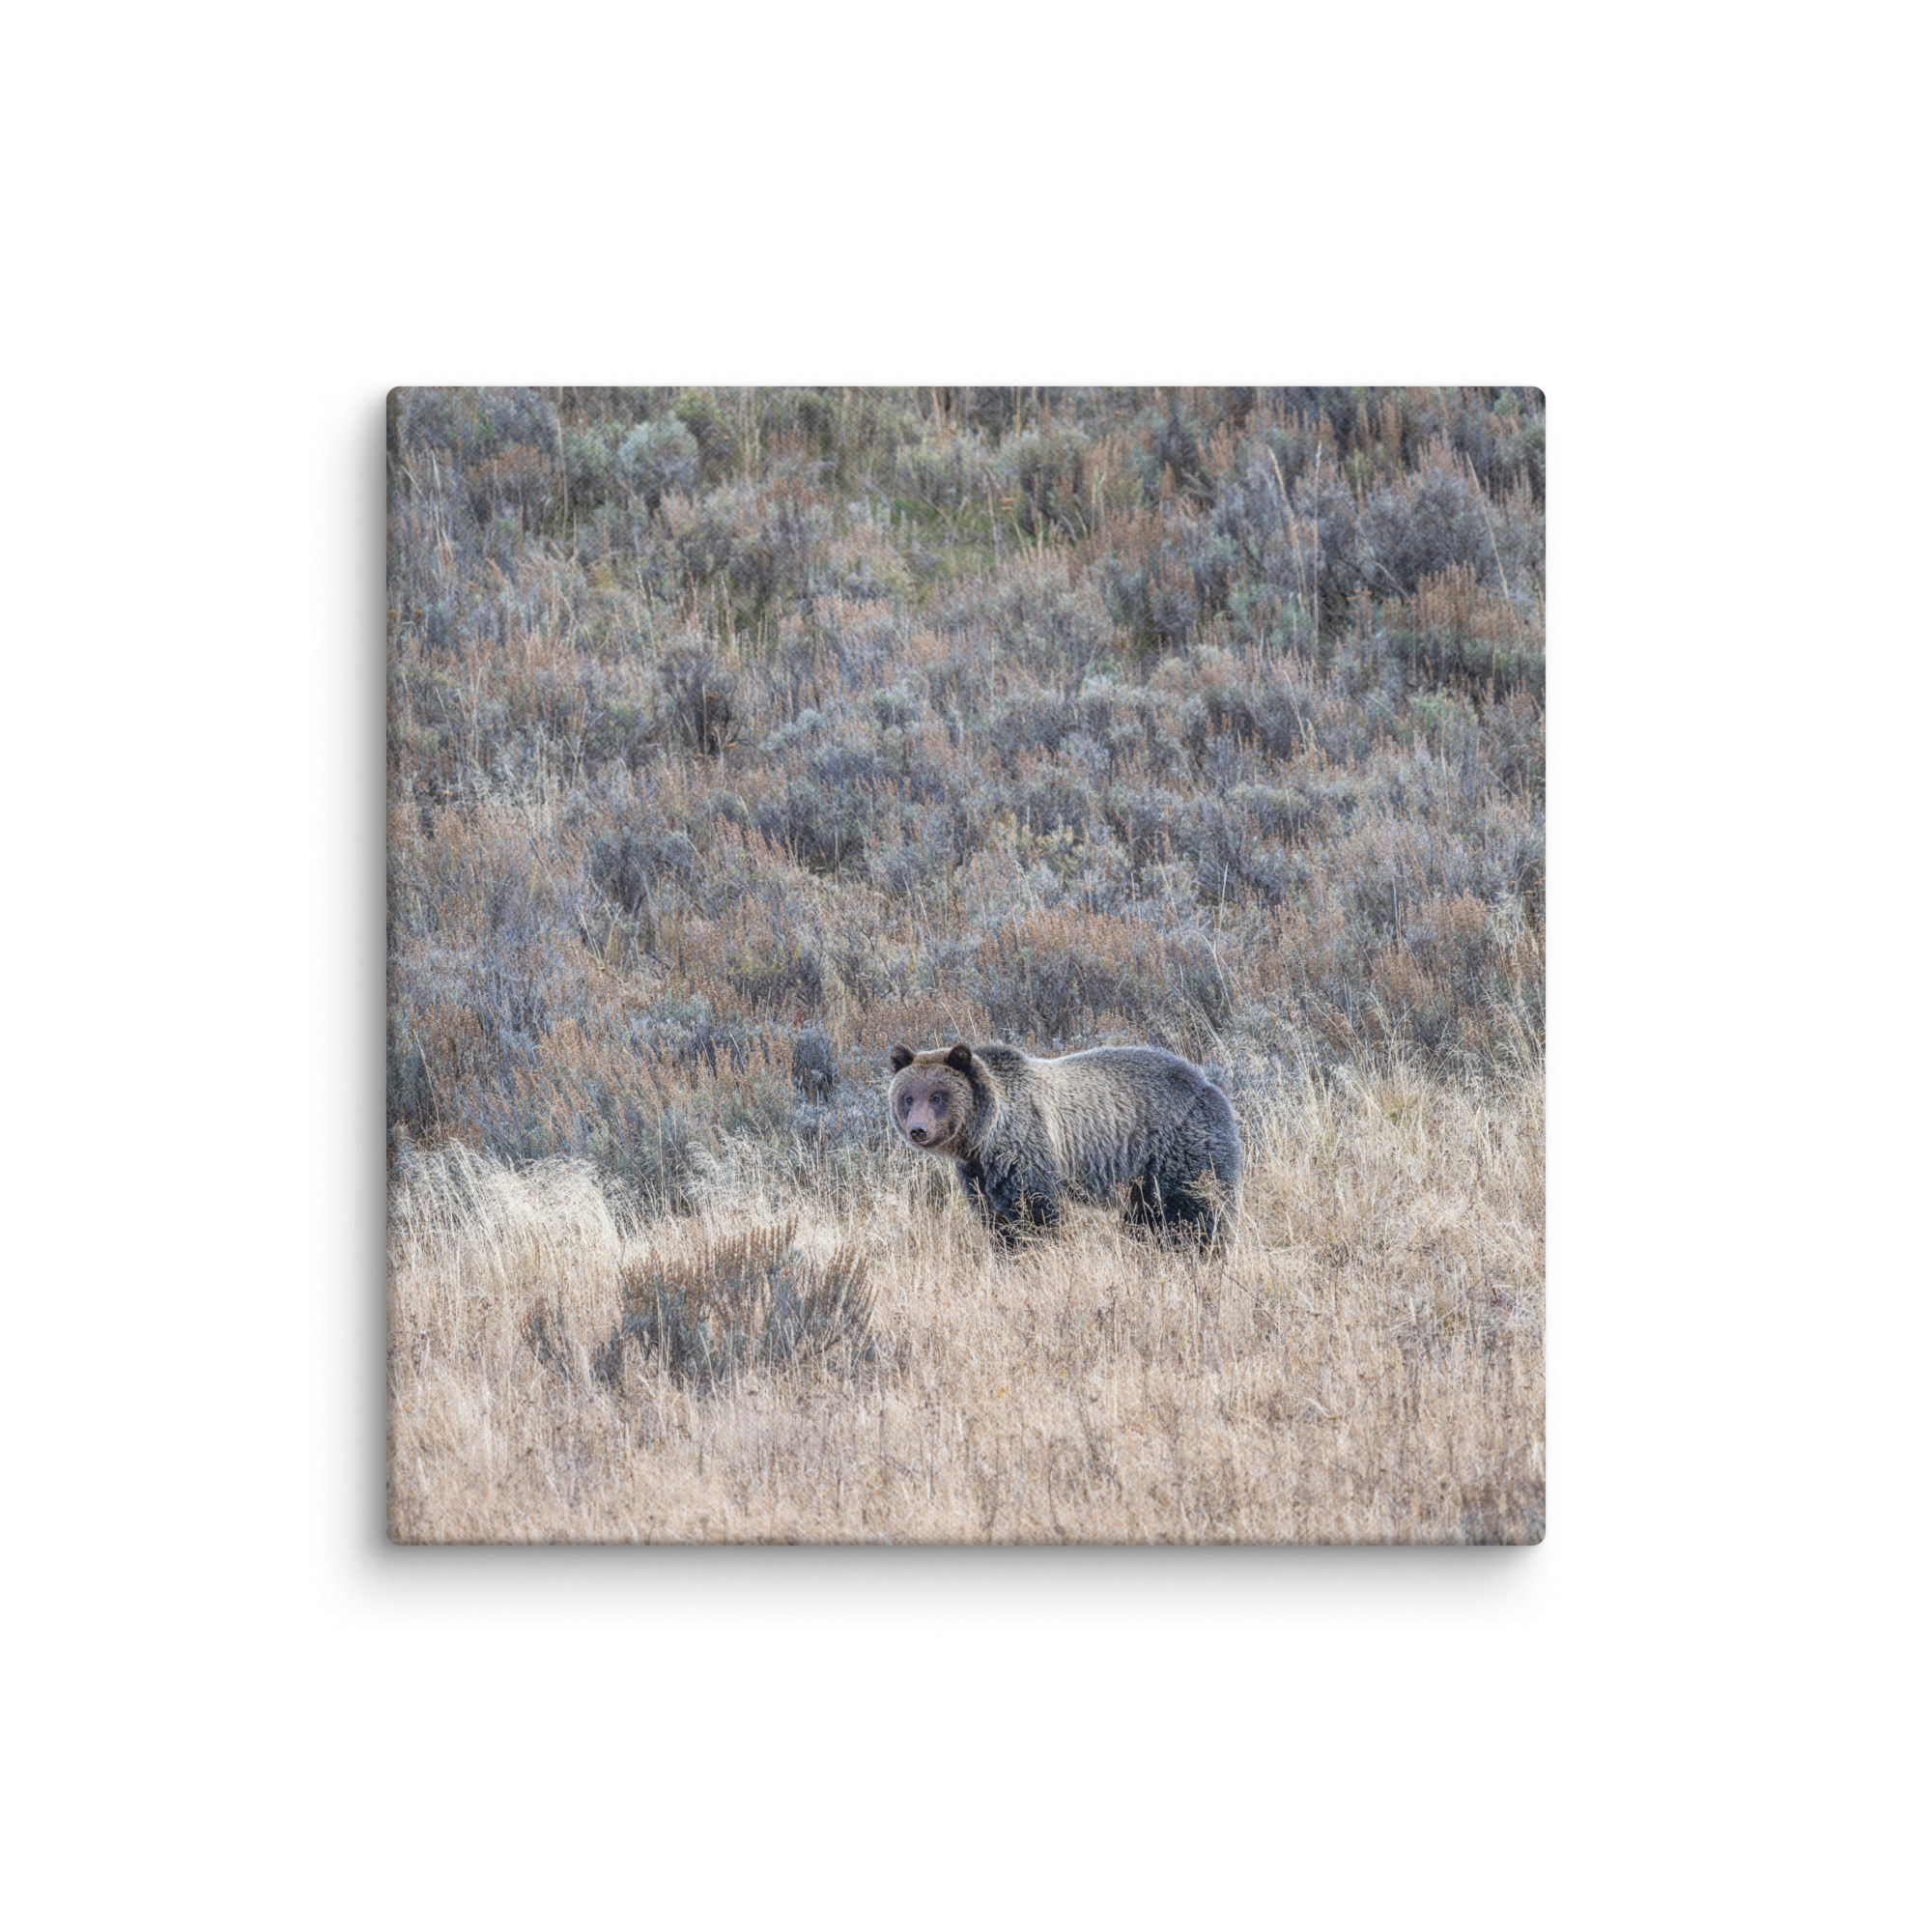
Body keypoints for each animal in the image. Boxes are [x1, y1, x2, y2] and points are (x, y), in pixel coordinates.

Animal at [886, 1040, 1240, 1247]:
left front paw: (1035, 1248)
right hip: (1141, 1175)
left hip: (1179, 1144)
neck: (984, 1136)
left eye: (937, 1097)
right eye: (908, 1097)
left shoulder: (1025, 1150)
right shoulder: (978, 1174)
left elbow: (1035, 1212)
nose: (918, 1130)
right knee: (1145, 1216)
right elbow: (994, 1217)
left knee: (1193, 1207)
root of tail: (1208, 1084)